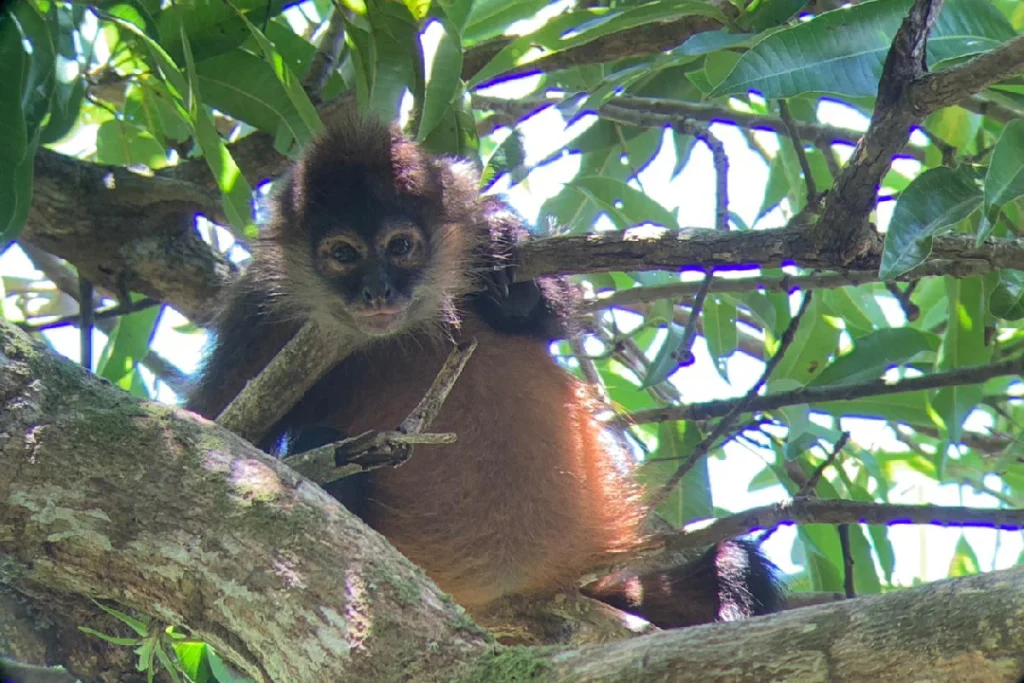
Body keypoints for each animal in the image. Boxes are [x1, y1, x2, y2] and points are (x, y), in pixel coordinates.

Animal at [187, 103, 783, 630]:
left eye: (400, 246)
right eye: (343, 254)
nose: (376, 290)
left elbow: (545, 315)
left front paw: (508, 259)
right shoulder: (258, 313)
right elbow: (225, 438)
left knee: (734, 566)